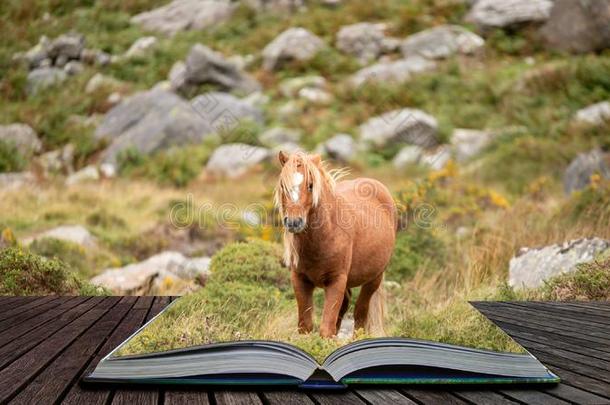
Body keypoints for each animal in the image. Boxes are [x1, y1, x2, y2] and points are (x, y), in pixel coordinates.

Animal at [274, 150, 396, 336]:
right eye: (283, 185)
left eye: (311, 185)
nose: (294, 222)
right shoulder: (299, 280)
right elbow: (305, 326)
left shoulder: (336, 281)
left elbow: (326, 329)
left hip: (374, 279)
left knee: (360, 314)